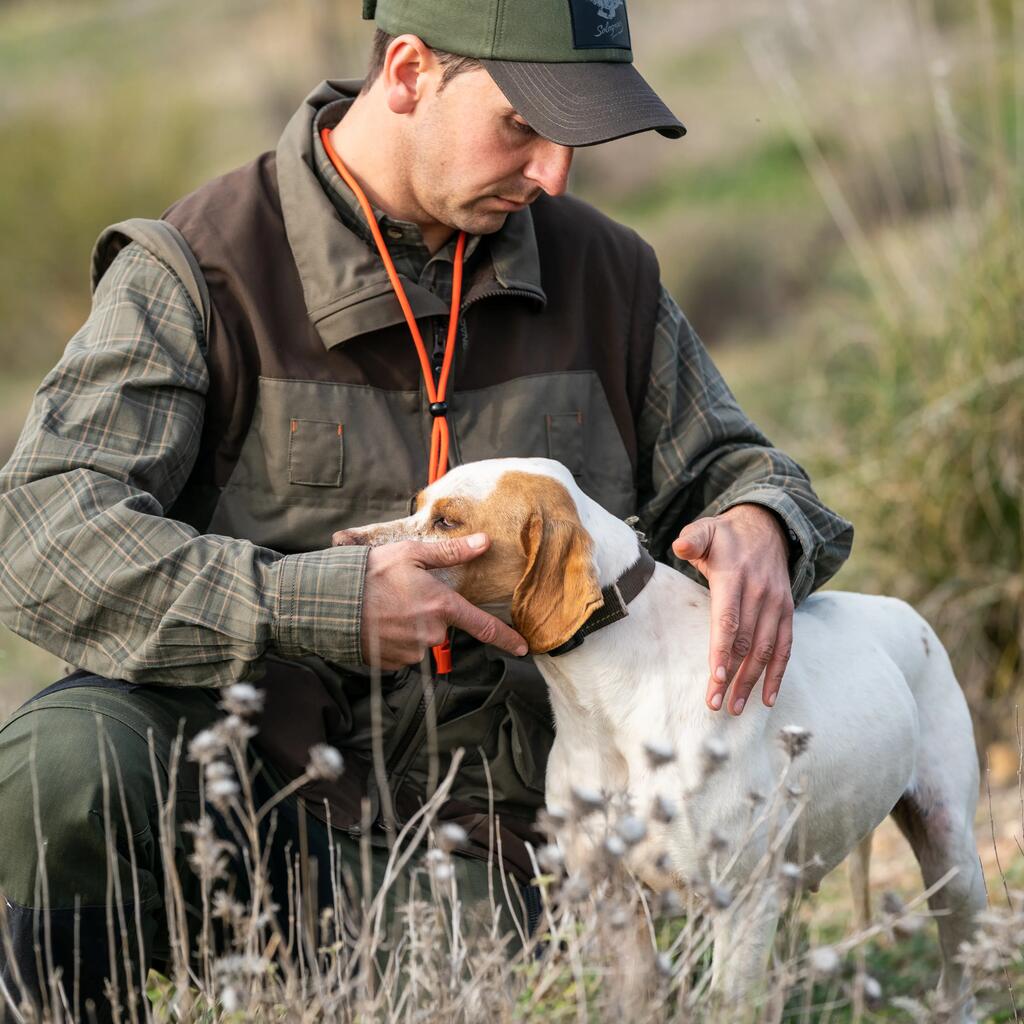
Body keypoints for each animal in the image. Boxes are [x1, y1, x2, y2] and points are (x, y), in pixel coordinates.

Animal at [333, 460, 983, 1019]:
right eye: (415, 505)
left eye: (448, 522)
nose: (341, 545)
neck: (605, 700)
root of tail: (903, 610)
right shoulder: (612, 899)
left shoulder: (740, 905)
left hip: (953, 863)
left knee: (960, 979)